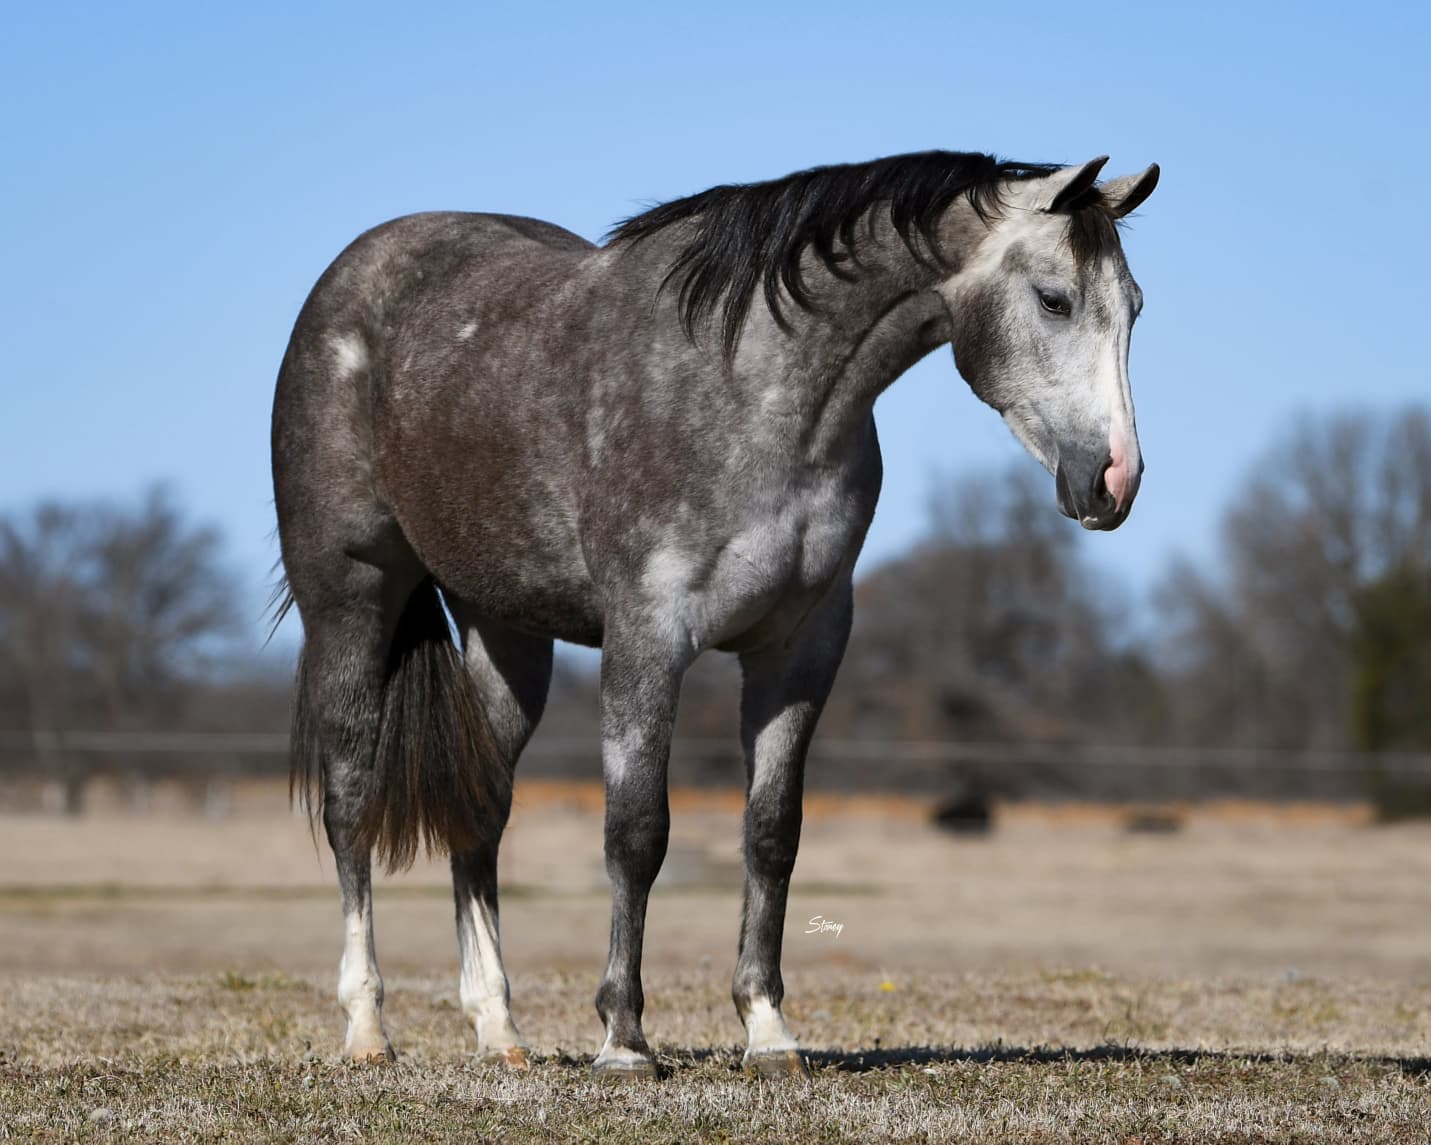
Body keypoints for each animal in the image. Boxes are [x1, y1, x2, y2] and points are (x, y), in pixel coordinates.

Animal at [270, 149, 1159, 1079]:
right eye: (1053, 299)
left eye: (1133, 306)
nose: (1115, 479)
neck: (758, 394)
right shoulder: (648, 641)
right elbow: (636, 833)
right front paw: (624, 1039)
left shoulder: (800, 649)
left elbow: (771, 833)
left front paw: (767, 1030)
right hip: (351, 602)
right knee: (348, 804)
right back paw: (368, 1029)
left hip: (506, 632)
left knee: (478, 812)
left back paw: (500, 1030)